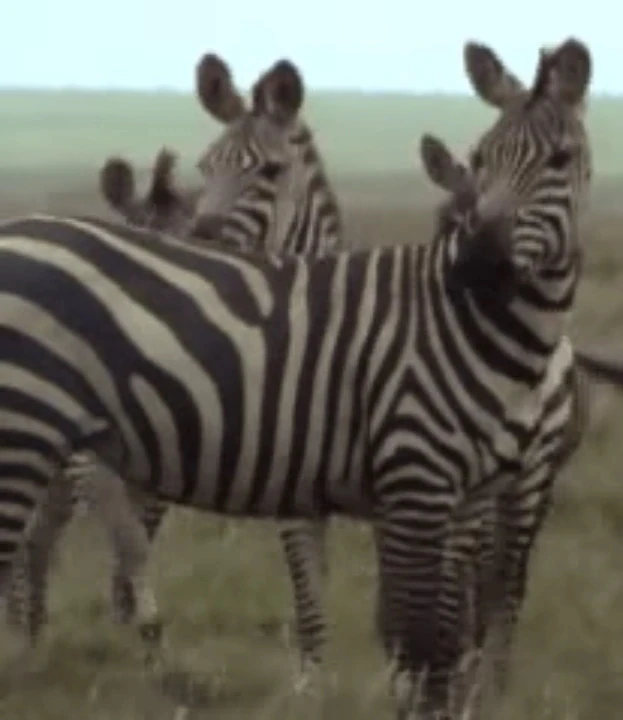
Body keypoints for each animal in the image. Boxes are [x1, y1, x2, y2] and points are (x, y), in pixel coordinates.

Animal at [0, 36, 593, 718]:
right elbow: (395, 626)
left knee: (504, 589)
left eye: (561, 160)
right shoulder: (405, 482)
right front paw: (325, 687)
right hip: (30, 432)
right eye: (481, 157)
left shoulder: (450, 496)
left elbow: (440, 632)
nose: (477, 265)